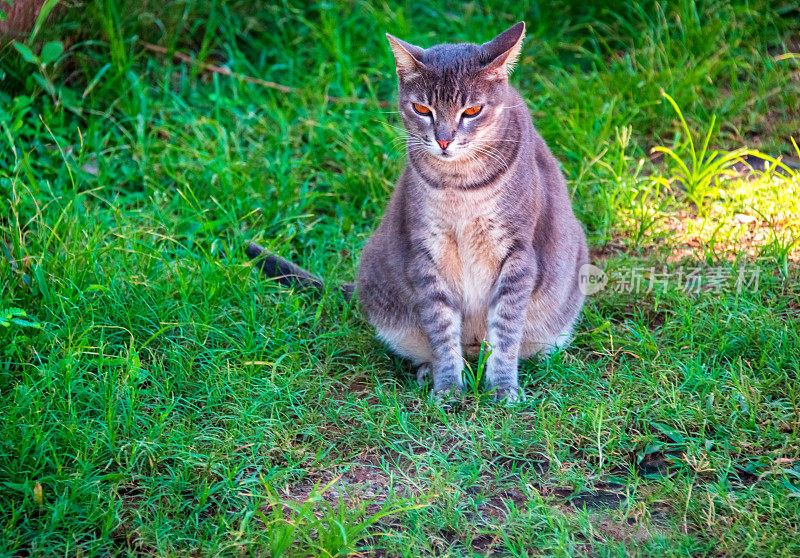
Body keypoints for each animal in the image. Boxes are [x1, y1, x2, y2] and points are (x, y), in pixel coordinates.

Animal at [356, 21, 588, 402]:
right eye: (422, 109)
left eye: (472, 111)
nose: (444, 140)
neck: (459, 187)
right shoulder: (425, 253)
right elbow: (441, 330)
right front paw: (448, 388)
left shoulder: (518, 253)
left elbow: (506, 331)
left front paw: (504, 388)